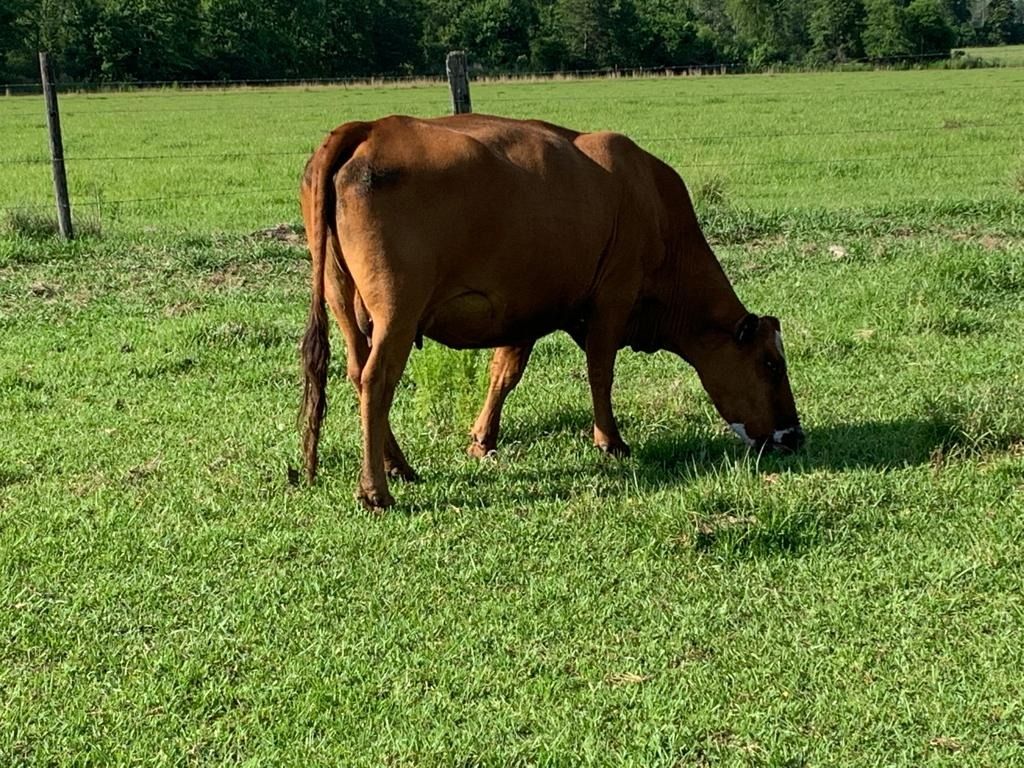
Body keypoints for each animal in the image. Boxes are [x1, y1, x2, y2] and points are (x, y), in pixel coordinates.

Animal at [299, 114, 802, 512]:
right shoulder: (612, 300)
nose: (794, 436)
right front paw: (610, 441)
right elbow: (600, 373)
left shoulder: (522, 309)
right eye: (771, 365)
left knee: (357, 372)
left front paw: (483, 440)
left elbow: (503, 375)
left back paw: (399, 466)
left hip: (347, 306)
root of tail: (370, 128)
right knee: (377, 380)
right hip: (398, 313)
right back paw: (376, 490)